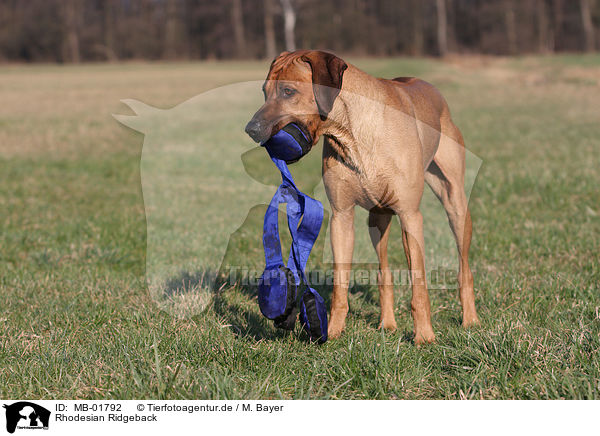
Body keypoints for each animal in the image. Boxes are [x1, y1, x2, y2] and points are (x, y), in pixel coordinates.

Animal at [244, 50, 478, 344]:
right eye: (265, 92)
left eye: (288, 91)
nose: (250, 129)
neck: (351, 133)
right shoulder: (341, 216)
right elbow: (340, 285)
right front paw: (332, 331)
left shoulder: (410, 216)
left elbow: (419, 286)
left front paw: (424, 336)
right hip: (378, 220)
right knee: (383, 271)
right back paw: (387, 323)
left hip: (455, 205)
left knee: (464, 267)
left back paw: (470, 320)